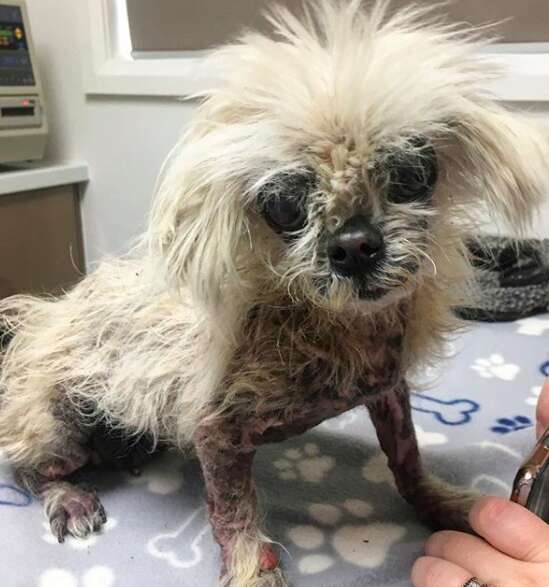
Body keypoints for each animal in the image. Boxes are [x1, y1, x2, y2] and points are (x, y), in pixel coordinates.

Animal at [1, 1, 548, 587]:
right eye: (284, 206)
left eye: (409, 173)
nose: (354, 245)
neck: (331, 327)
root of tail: (38, 322)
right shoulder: (217, 434)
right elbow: (236, 518)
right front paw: (252, 572)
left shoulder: (388, 392)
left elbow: (408, 463)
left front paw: (440, 503)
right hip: (55, 423)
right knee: (30, 467)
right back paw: (69, 496)